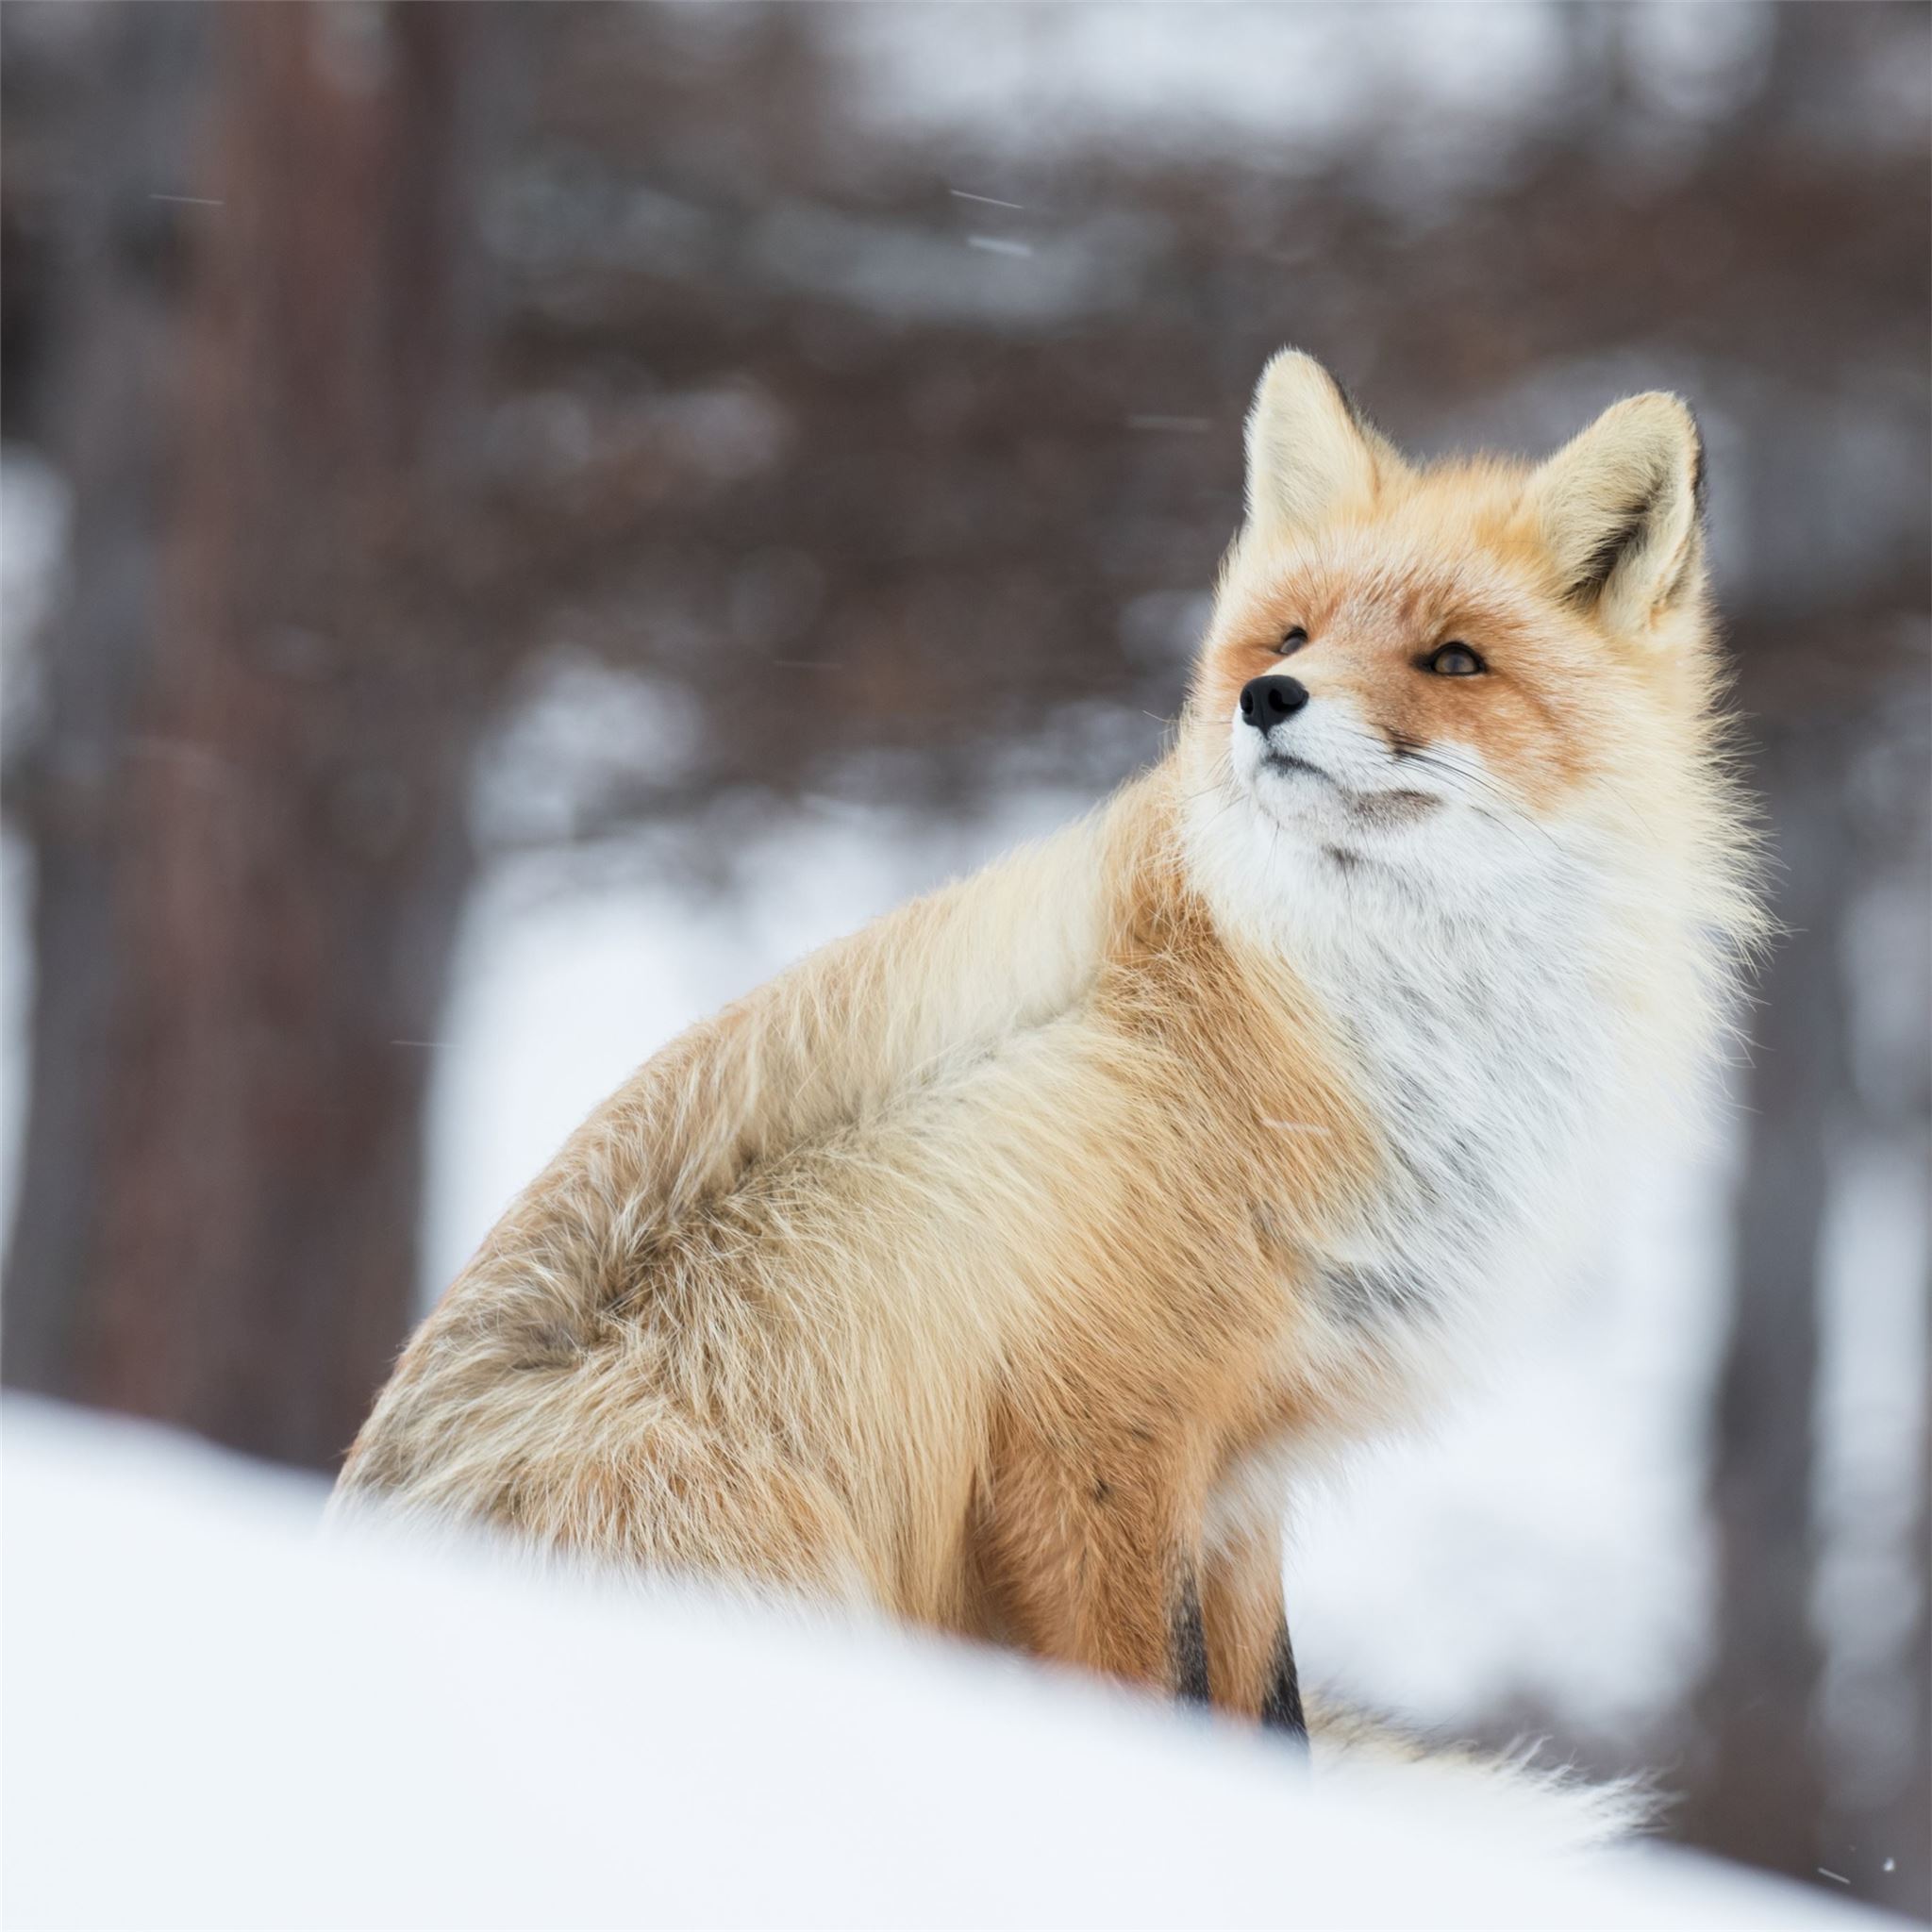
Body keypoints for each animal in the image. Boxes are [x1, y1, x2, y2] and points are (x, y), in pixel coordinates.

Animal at [337, 352, 1758, 1816]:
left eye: (1454, 659)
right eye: (1291, 636)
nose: (1269, 702)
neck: (1318, 1027)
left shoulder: (1242, 1472)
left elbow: (1270, 1720)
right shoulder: (1091, 1443)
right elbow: (1154, 1706)